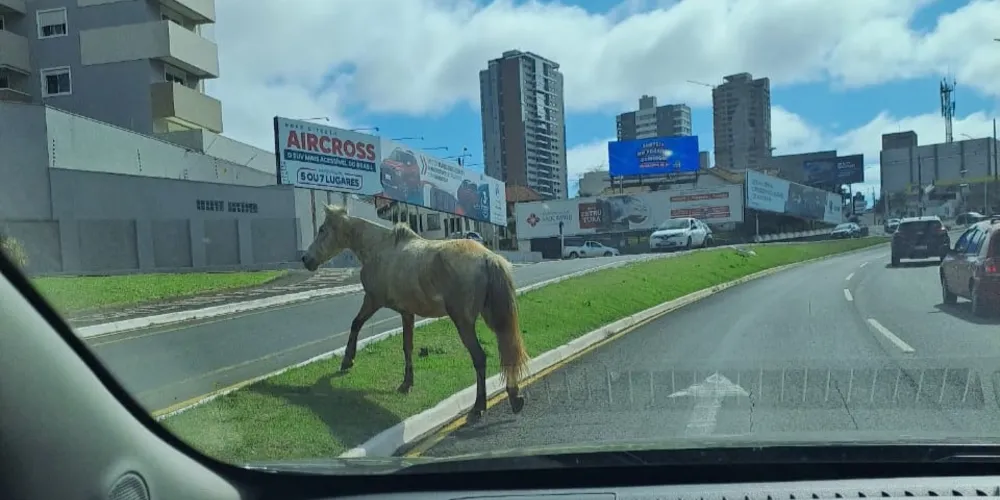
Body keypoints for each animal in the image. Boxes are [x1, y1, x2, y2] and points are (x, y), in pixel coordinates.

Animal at [301, 204, 529, 422]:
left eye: (322, 229)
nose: (305, 259)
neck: (380, 247)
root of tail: (488, 258)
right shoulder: (406, 313)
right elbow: (407, 346)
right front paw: (407, 383)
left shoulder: (372, 300)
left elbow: (356, 323)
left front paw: (348, 360)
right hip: (494, 319)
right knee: (507, 350)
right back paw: (514, 398)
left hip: (463, 322)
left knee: (480, 358)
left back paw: (478, 407)